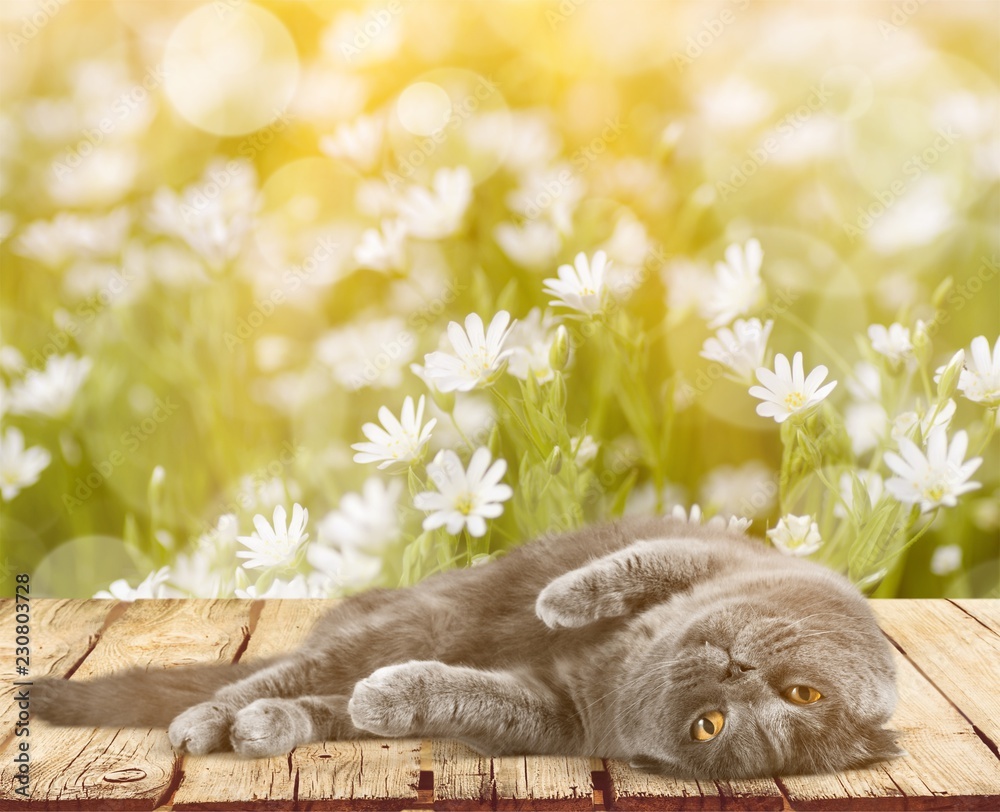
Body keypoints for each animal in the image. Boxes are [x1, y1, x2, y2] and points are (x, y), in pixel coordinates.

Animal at [35, 516, 904, 776]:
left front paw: (399, 695)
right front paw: (563, 602)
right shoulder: (713, 556)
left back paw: (266, 726)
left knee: (327, 698)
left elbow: (473, 694)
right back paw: (211, 718)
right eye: (803, 691)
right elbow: (639, 564)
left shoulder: (558, 716)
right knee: (282, 672)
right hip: (425, 617)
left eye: (709, 727)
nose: (738, 670)